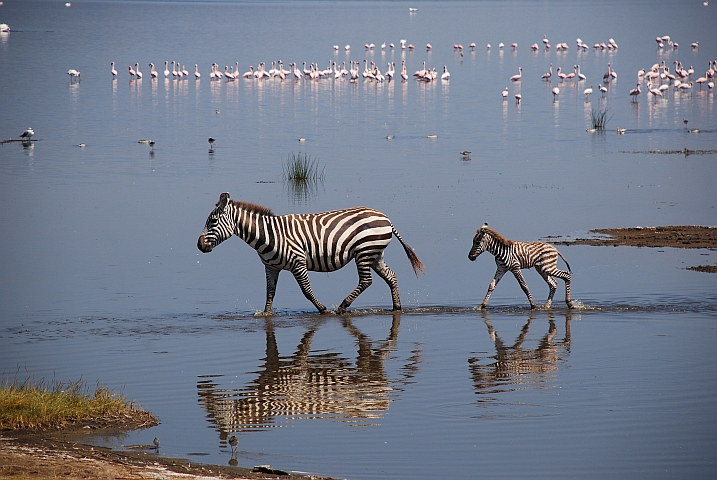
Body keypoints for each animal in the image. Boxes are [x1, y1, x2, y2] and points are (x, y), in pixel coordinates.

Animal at [196, 193, 422, 314]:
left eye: (213, 222)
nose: (199, 245)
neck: (268, 236)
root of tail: (386, 218)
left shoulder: (298, 263)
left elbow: (306, 290)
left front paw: (323, 309)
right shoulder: (270, 267)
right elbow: (270, 292)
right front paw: (266, 315)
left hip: (364, 252)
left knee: (366, 281)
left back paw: (342, 307)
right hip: (375, 254)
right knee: (391, 277)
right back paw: (397, 307)